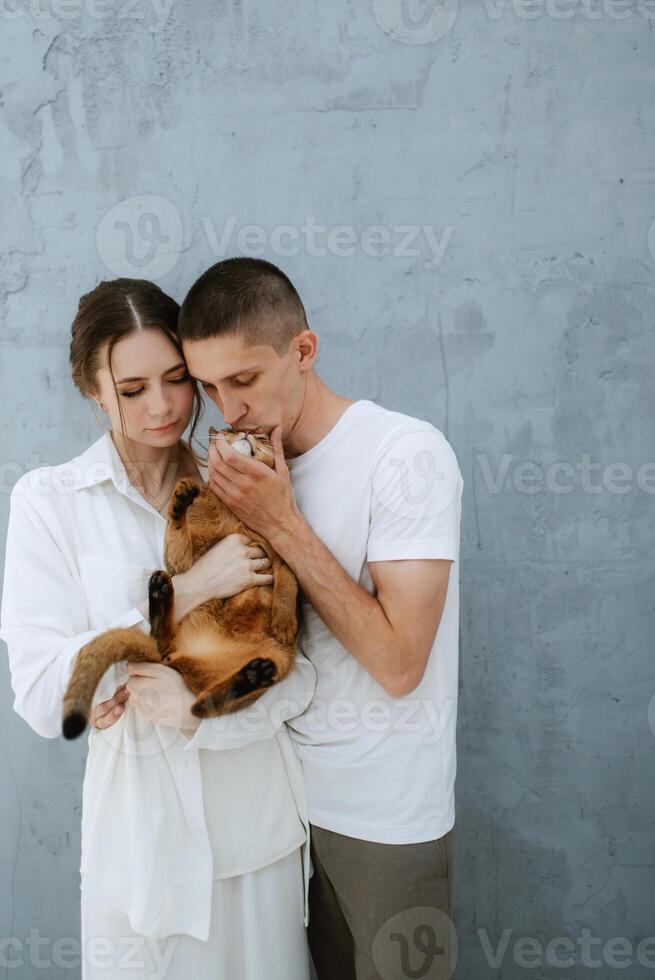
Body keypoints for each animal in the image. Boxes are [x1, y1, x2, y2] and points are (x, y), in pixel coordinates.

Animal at [61, 428, 298, 744]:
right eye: (232, 430)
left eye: (260, 435)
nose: (246, 432)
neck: (233, 513)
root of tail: (184, 657)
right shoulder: (183, 563)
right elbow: (176, 534)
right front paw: (180, 499)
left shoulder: (283, 552)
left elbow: (288, 582)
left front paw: (283, 622)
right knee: (179, 673)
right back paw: (160, 594)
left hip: (279, 660)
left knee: (201, 707)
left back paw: (250, 675)